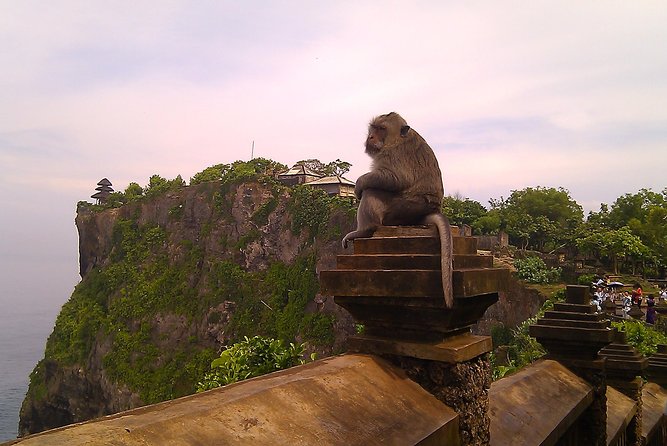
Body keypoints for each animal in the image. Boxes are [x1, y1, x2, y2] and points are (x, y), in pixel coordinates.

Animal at [342, 112, 454, 308]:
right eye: (373, 128)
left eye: (381, 129)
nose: (371, 137)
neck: (396, 139)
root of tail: (428, 210)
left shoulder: (392, 154)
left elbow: (397, 179)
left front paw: (359, 184)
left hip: (402, 209)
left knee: (373, 191)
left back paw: (364, 230)